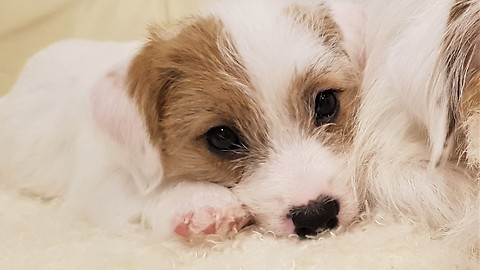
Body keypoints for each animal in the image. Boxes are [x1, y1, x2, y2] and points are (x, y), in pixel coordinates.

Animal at [0, 0, 364, 240]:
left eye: (326, 102)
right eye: (221, 137)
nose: (316, 215)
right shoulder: (94, 186)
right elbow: (140, 192)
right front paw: (197, 200)